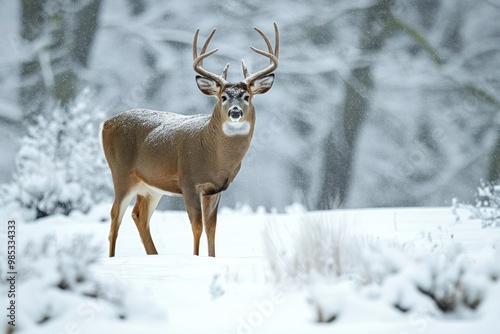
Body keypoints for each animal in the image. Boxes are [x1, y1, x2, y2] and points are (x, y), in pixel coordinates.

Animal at [101, 23, 280, 258]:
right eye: (223, 97)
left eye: (247, 96)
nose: (235, 112)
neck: (215, 156)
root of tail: (106, 123)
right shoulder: (188, 181)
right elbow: (197, 226)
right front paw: (195, 258)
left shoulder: (216, 189)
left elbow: (212, 228)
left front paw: (211, 258)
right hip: (121, 173)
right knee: (114, 216)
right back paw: (112, 257)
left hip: (150, 186)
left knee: (139, 216)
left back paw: (154, 256)